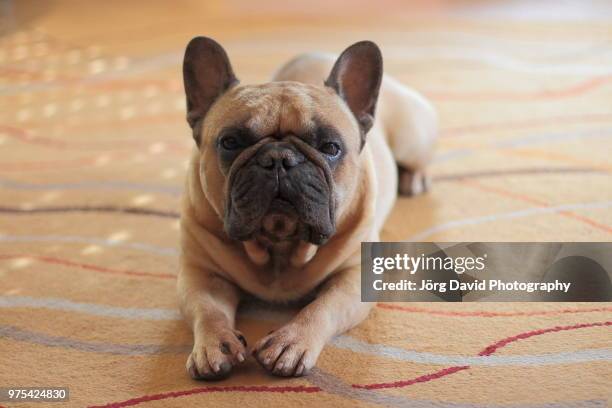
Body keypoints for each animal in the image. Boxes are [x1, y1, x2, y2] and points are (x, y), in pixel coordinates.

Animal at [176, 36, 436, 380]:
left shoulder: (355, 276)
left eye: (330, 147)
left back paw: (415, 179)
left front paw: (292, 342)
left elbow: (321, 308)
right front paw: (213, 345)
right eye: (230, 143)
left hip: (412, 140)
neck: (279, 245)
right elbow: (207, 310)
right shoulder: (202, 275)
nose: (279, 158)